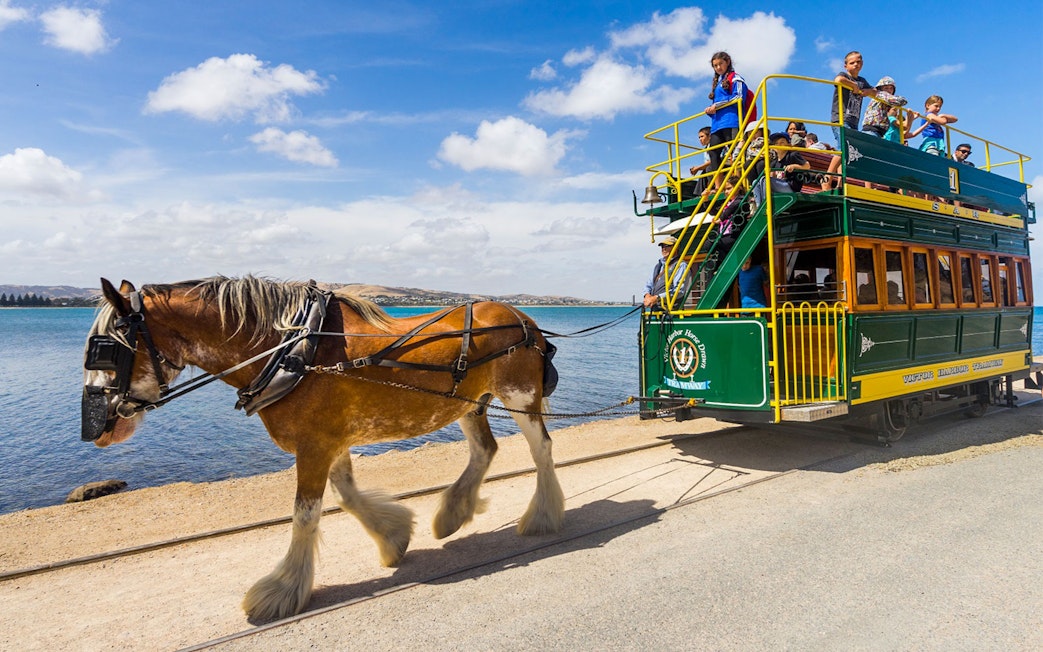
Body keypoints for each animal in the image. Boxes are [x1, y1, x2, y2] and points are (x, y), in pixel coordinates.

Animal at [81, 275, 564, 621]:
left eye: (104, 350)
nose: (94, 428)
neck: (293, 351)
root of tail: (524, 319)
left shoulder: (314, 445)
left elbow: (305, 515)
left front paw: (283, 590)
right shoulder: (328, 440)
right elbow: (346, 495)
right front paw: (393, 537)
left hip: (520, 397)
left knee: (541, 449)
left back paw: (542, 515)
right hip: (469, 403)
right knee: (485, 449)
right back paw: (452, 513)